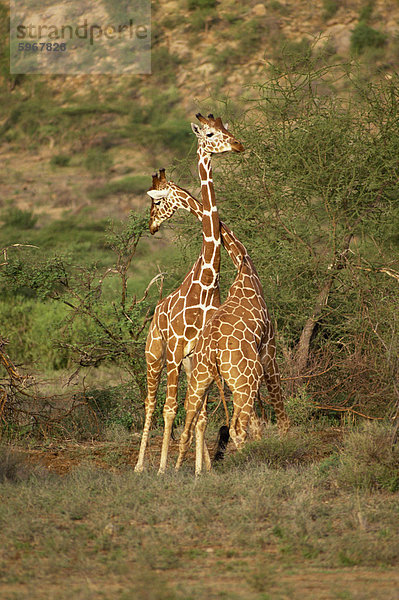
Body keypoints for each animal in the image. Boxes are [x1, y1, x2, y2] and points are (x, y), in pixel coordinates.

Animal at [134, 112, 244, 474]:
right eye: (209, 133)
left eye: (225, 129)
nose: (237, 144)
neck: (208, 278)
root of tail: (156, 311)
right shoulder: (176, 349)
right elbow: (171, 409)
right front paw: (164, 468)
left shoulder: (200, 353)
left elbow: (201, 415)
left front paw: (198, 469)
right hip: (155, 355)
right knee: (151, 404)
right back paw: (141, 466)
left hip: (183, 362)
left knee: (190, 408)